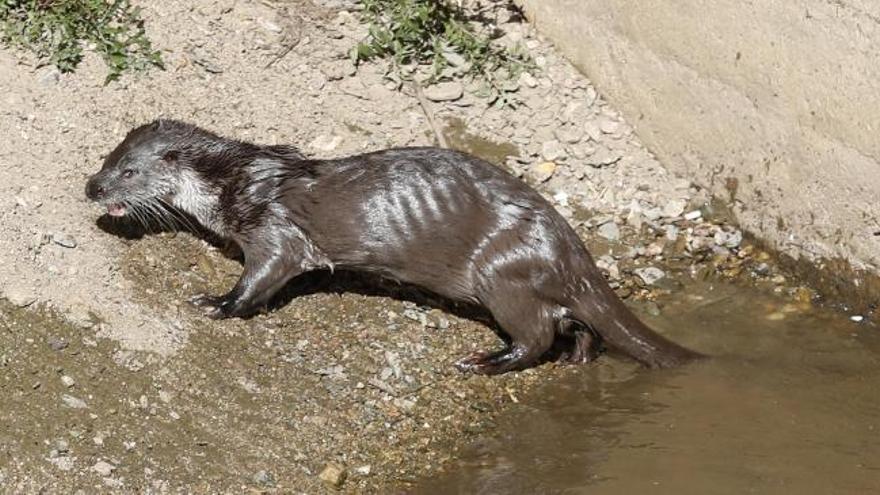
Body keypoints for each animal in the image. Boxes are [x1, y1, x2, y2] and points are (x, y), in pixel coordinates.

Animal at [86, 121, 704, 376]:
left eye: (128, 171)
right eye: (106, 157)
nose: (92, 187)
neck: (236, 181)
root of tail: (568, 242)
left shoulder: (274, 233)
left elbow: (260, 278)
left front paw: (216, 302)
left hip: (500, 274)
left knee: (536, 334)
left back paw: (483, 361)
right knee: (572, 322)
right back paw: (579, 356)